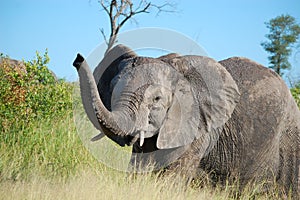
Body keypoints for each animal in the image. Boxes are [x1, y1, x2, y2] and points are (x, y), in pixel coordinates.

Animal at [73, 45, 300, 197]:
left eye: (157, 99)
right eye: (112, 91)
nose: (77, 58)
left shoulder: (197, 126)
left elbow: (172, 179)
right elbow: (139, 169)